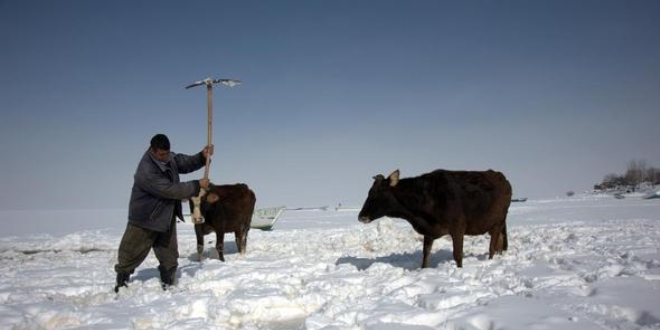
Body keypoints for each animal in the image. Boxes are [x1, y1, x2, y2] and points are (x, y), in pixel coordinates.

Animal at [358, 169, 512, 266]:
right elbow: (425, 256)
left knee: (492, 247)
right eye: (369, 192)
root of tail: (502, 177)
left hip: (498, 222)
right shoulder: (429, 231)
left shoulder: (458, 227)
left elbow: (458, 255)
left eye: (377, 193)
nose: (361, 216)